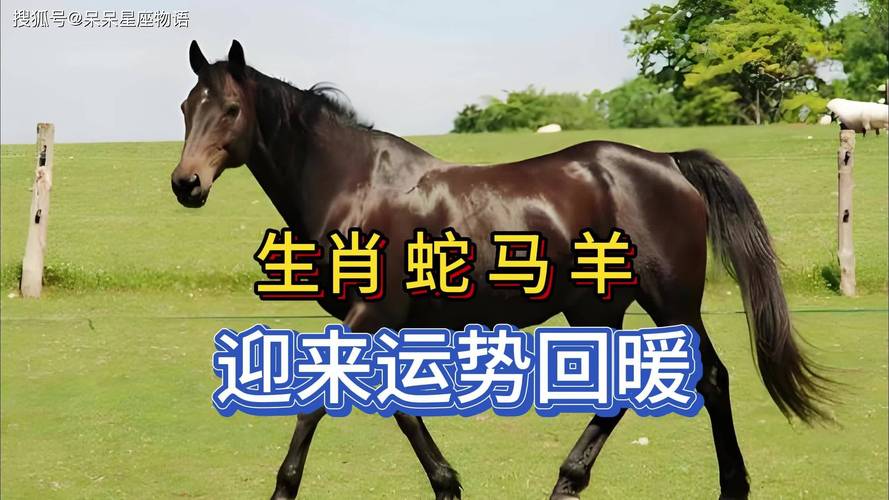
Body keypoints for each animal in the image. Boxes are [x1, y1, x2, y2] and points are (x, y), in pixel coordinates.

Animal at [170, 40, 830, 500]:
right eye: (184, 107)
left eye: (231, 109)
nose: (186, 184)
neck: (353, 184)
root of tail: (668, 162)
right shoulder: (383, 323)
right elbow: (399, 407)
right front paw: (447, 483)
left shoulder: (370, 313)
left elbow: (315, 401)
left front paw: (284, 487)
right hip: (596, 307)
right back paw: (572, 480)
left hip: (670, 303)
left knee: (710, 379)